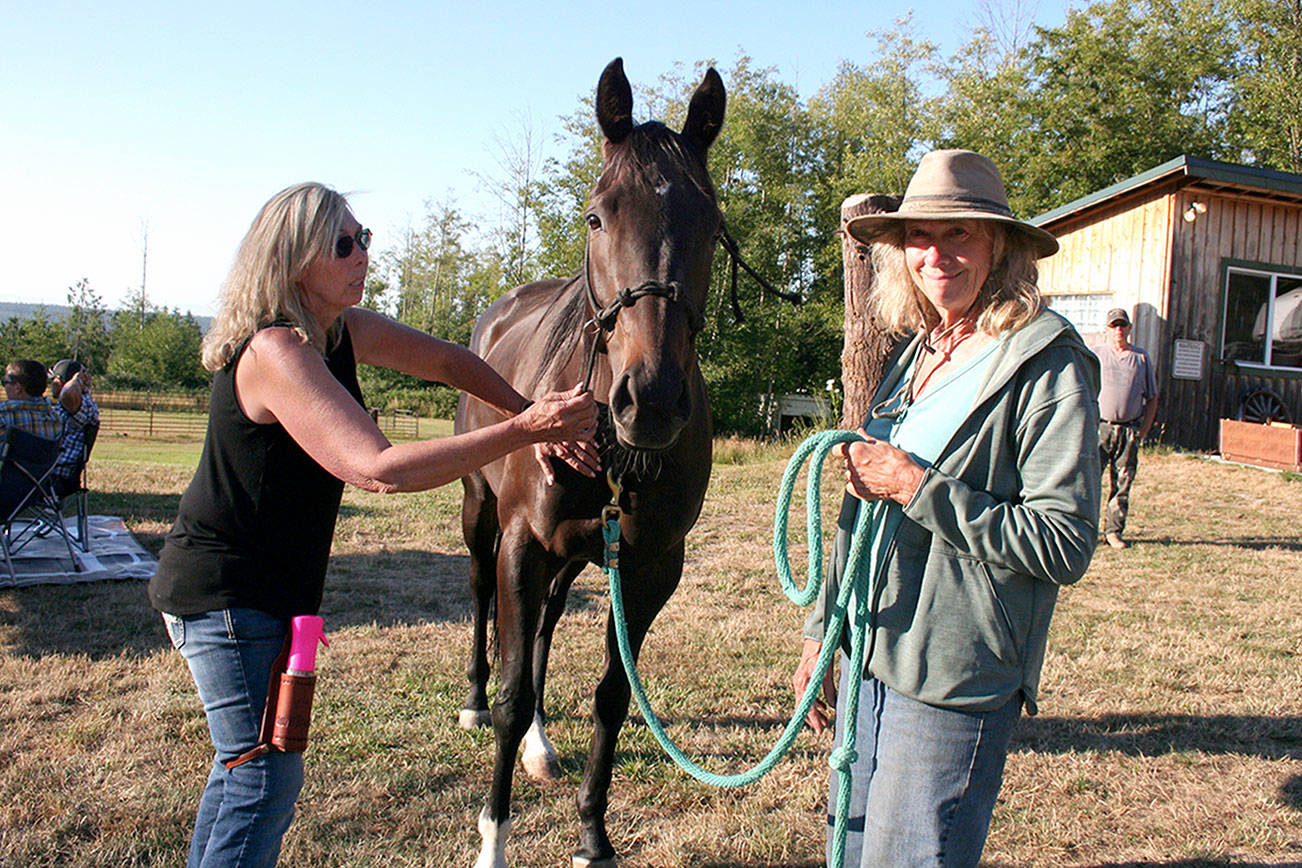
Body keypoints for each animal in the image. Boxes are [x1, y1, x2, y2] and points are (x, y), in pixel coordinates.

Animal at [453, 58, 725, 868]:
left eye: (711, 223)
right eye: (597, 216)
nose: (653, 400)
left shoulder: (648, 565)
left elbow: (612, 695)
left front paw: (592, 836)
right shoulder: (520, 543)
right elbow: (513, 693)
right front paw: (493, 840)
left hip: (574, 554)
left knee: (543, 627)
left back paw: (543, 748)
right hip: (482, 517)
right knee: (481, 601)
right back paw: (473, 704)